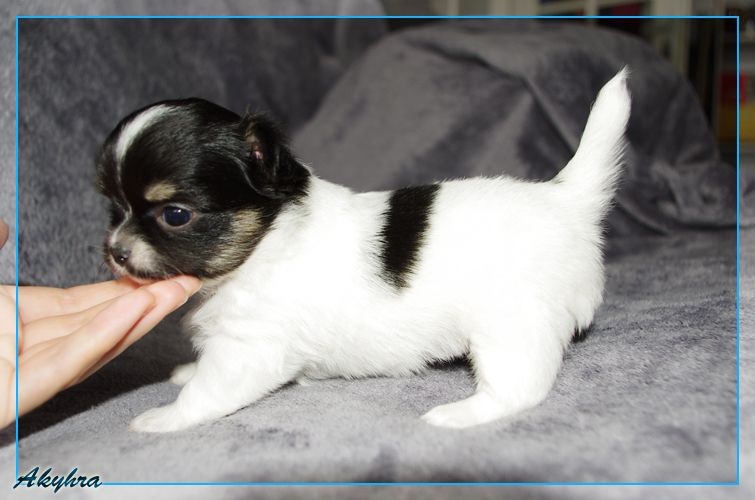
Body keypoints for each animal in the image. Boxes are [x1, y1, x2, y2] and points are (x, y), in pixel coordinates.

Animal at [96, 69, 630, 432]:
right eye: (113, 208)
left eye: (175, 215)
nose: (116, 252)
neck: (266, 241)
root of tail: (565, 199)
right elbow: (201, 373)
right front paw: (185, 372)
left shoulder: (249, 349)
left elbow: (208, 391)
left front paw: (164, 417)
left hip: (510, 324)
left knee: (521, 388)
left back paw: (457, 414)